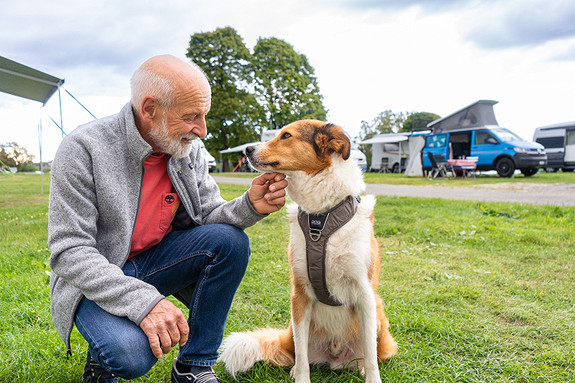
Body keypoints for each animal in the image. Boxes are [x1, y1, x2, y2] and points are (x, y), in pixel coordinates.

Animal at [218, 120, 398, 383]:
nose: (247, 149)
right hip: (293, 328)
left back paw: (362, 366)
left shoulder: (365, 295)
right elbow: (302, 356)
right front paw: (301, 376)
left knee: (372, 352)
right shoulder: (299, 295)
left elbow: (372, 355)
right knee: (298, 351)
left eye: (286, 136)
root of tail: (336, 358)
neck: (321, 217)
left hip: (378, 310)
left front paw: (372, 377)